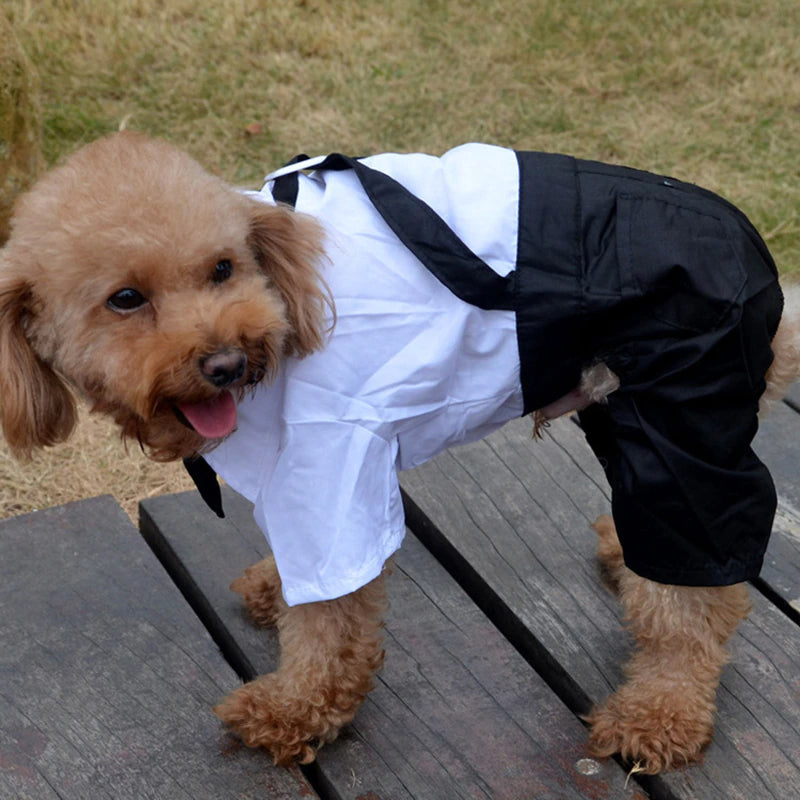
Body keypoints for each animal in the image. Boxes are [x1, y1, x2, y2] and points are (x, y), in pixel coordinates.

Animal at [1, 133, 800, 776]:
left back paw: (659, 715)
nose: (226, 363)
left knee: (694, 598)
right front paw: (277, 589)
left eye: (222, 269)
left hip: (682, 414)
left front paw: (293, 709)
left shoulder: (333, 456)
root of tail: (751, 244)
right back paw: (622, 553)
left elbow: (331, 624)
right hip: (619, 402)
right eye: (125, 299)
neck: (288, 294)